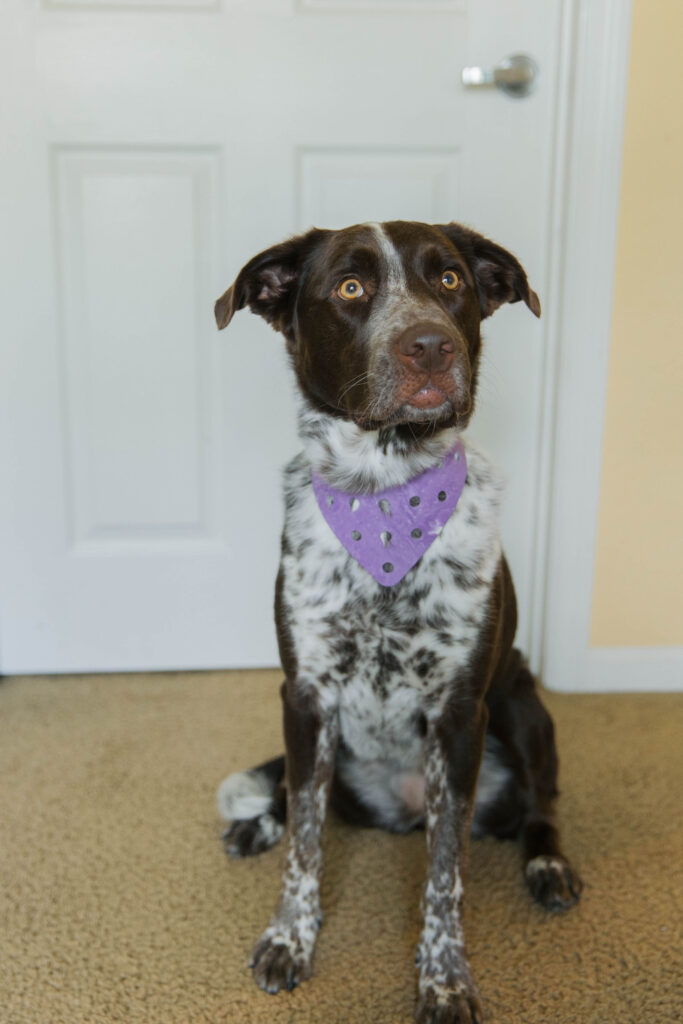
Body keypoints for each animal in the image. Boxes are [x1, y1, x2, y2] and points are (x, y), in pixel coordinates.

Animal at [214, 224, 581, 1024]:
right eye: (350, 288)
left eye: (448, 281)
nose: (429, 345)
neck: (383, 497)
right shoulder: (304, 697)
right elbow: (306, 843)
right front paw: (289, 937)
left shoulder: (458, 713)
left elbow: (444, 872)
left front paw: (443, 979)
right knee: (297, 798)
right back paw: (257, 822)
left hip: (521, 705)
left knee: (540, 804)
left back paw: (547, 863)